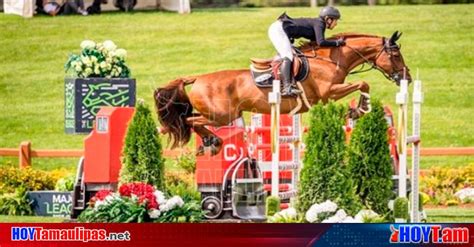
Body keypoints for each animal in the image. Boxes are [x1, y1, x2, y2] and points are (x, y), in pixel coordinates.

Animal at [155, 30, 412, 154]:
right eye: (396, 54)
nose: (406, 77)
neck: (331, 58)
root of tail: (197, 78)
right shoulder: (328, 93)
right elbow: (363, 84)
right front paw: (359, 110)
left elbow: (362, 84)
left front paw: (357, 111)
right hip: (220, 115)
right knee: (189, 120)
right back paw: (213, 141)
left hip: (222, 115)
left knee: (189, 120)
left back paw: (210, 142)